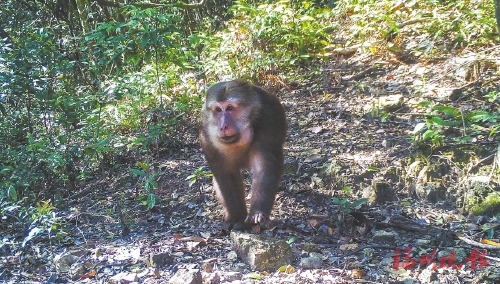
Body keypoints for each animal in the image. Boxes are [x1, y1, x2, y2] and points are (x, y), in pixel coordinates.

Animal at [198, 79, 286, 230]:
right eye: (218, 110)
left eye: (229, 108)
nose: (223, 126)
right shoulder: (206, 137)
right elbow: (225, 175)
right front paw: (236, 217)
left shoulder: (268, 122)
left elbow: (263, 168)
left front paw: (257, 213)